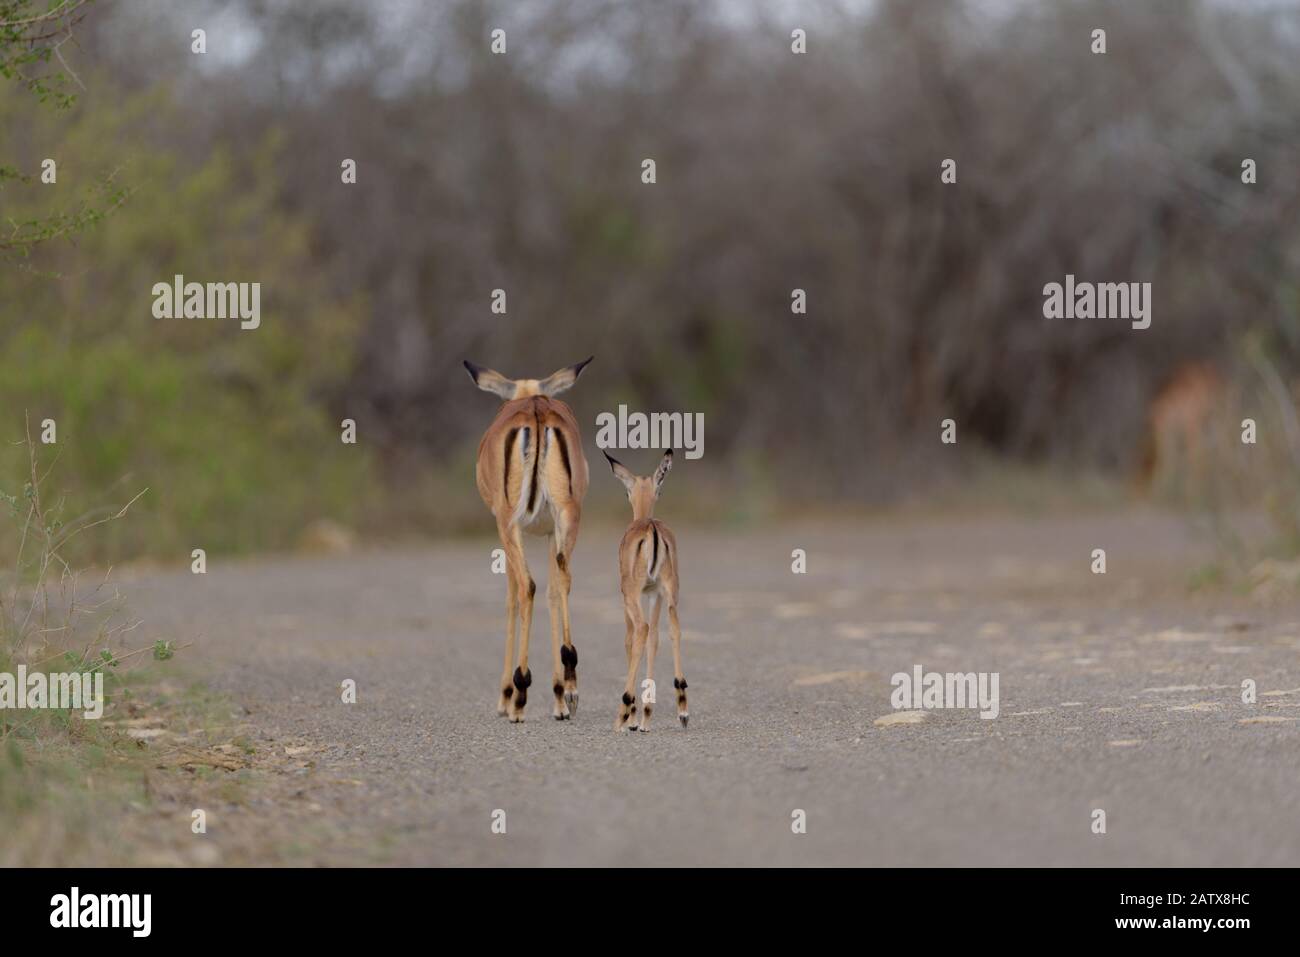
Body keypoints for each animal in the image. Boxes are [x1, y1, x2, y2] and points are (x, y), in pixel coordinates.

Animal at [464, 356, 593, 722]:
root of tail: (537, 408)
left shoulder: (509, 528)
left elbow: (511, 598)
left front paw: (505, 696)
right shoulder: (550, 532)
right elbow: (553, 593)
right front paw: (559, 697)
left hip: (509, 524)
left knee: (526, 587)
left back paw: (519, 695)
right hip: (568, 517)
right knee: (562, 581)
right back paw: (571, 686)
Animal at [603, 449, 688, 732]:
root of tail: (650, 527)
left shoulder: (628, 597)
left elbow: (631, 640)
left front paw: (631, 718)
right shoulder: (655, 594)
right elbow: (655, 640)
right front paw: (644, 718)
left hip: (633, 595)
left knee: (641, 630)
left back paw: (621, 714)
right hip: (670, 592)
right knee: (673, 630)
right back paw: (682, 710)